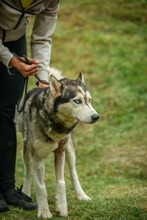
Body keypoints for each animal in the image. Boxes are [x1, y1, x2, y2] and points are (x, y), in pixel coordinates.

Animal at [17, 69, 100, 218]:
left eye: (89, 100)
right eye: (77, 101)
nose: (96, 117)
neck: (55, 125)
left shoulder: (60, 152)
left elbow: (61, 182)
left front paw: (61, 208)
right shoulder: (37, 157)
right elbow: (40, 186)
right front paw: (44, 211)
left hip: (70, 152)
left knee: (73, 173)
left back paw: (82, 195)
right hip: (26, 153)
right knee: (28, 172)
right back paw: (25, 193)